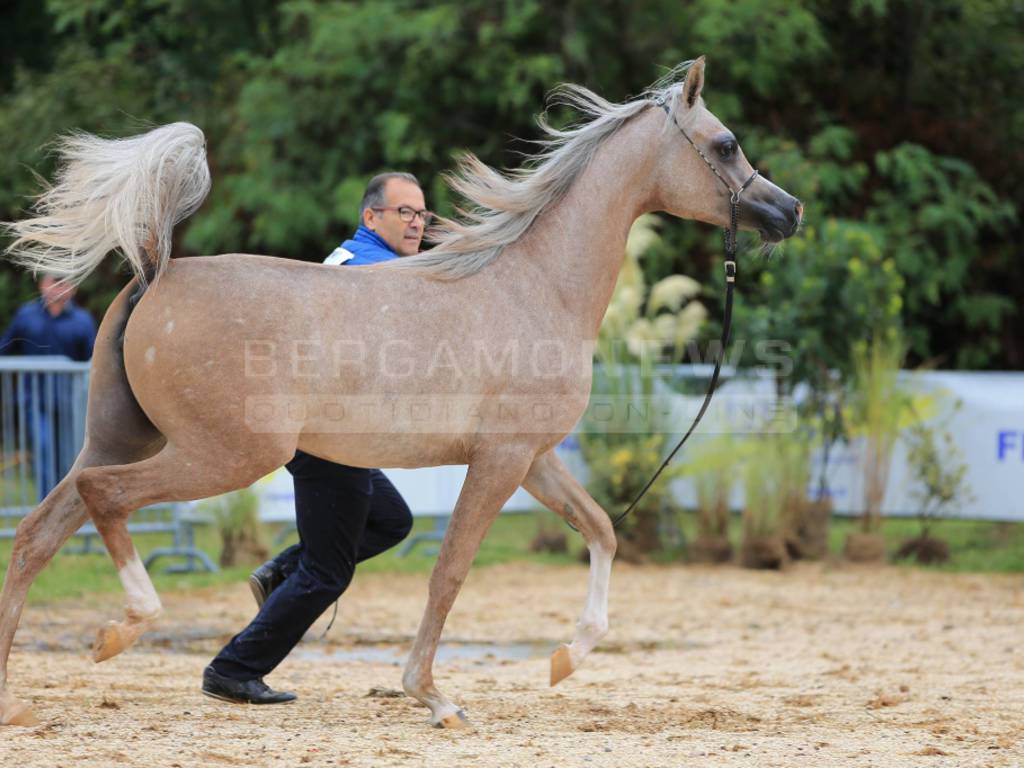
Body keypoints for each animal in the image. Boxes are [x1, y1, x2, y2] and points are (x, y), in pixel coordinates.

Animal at [0, 57, 798, 729]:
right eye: (726, 144)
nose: (788, 211)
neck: (536, 285)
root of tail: (155, 271)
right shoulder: (500, 460)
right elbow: (450, 574)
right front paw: (433, 696)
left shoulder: (533, 458)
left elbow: (601, 530)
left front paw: (566, 659)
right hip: (223, 456)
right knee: (103, 498)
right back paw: (122, 629)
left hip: (124, 437)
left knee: (38, 531)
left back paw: (17, 694)